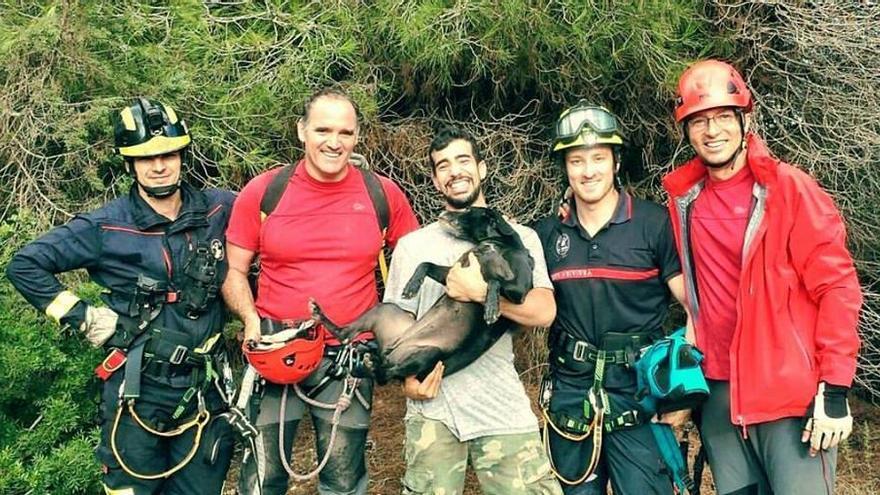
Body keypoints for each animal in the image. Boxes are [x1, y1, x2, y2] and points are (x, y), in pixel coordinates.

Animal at [312, 207, 532, 386]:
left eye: (468, 210)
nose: (443, 212)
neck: (495, 242)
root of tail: (388, 351)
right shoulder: (452, 275)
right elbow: (426, 264)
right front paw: (412, 285)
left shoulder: (520, 291)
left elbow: (494, 280)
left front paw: (491, 307)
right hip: (385, 310)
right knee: (347, 336)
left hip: (429, 353)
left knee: (385, 374)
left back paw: (369, 366)